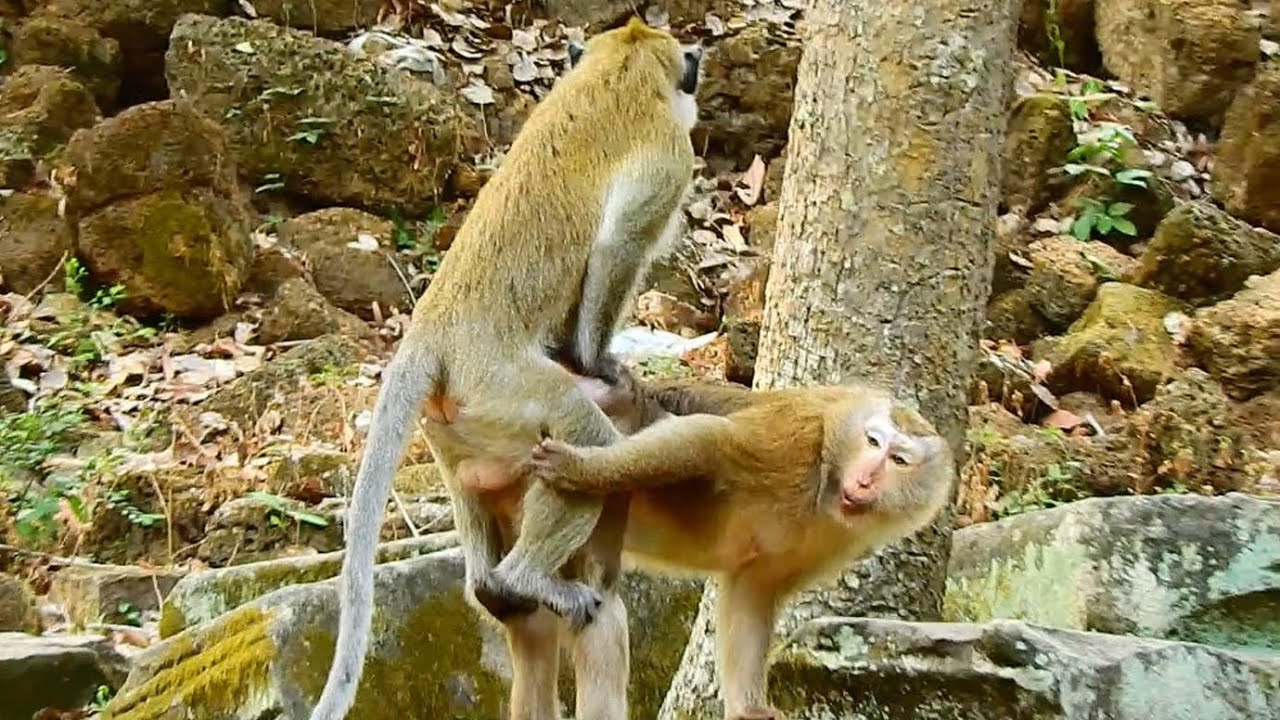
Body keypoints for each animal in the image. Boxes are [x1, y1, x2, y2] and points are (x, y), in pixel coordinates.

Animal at [308, 18, 703, 720]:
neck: (620, 68)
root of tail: (431, 332)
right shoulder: (669, 154)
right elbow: (617, 249)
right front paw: (599, 361)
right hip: (498, 385)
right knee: (586, 440)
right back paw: (525, 577)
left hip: (448, 424)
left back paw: (493, 585)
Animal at [465, 371, 956, 720]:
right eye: (872, 441)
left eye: (898, 460)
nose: (867, 477)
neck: (828, 476)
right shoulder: (795, 444)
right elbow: (711, 441)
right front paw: (584, 468)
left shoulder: (838, 539)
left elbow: (755, 589)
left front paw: (749, 710)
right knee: (599, 600)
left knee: (534, 627)